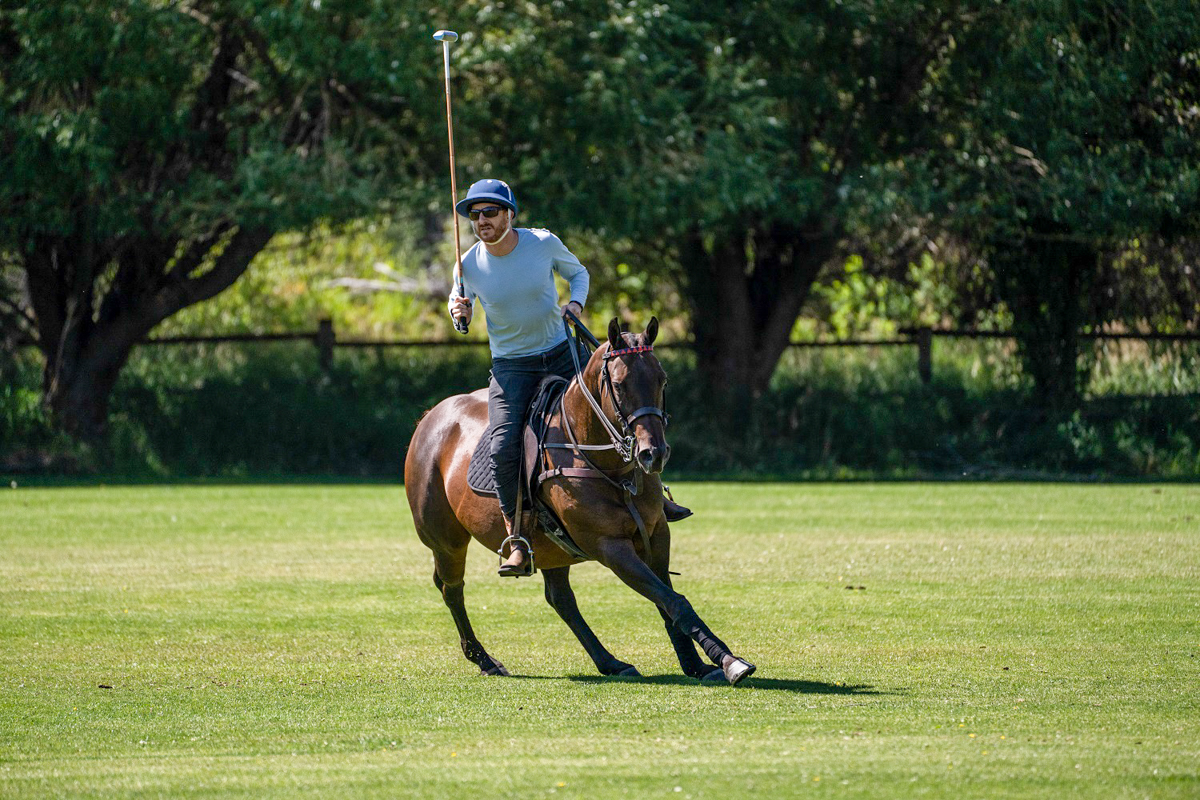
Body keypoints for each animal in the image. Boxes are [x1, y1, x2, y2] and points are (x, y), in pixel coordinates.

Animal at [404, 317, 755, 684]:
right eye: (619, 385)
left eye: (662, 379)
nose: (653, 453)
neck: (611, 467)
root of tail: (430, 416)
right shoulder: (609, 546)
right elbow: (673, 600)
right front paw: (729, 661)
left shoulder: (657, 533)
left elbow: (667, 598)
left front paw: (697, 664)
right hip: (446, 540)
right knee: (452, 589)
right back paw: (484, 659)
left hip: (549, 548)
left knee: (560, 599)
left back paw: (610, 662)